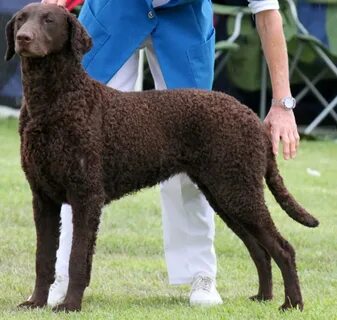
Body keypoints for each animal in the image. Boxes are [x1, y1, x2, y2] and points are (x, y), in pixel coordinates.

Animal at [6, 2, 318, 312]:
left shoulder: (86, 196)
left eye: (49, 20)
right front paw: (36, 302)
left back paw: (292, 304)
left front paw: (70, 305)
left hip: (238, 192)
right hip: (226, 195)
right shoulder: (43, 198)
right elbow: (43, 258)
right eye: (21, 19)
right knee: (260, 250)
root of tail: (253, 117)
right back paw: (263, 297)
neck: (54, 103)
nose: (23, 38)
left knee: (283, 249)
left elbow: (78, 258)